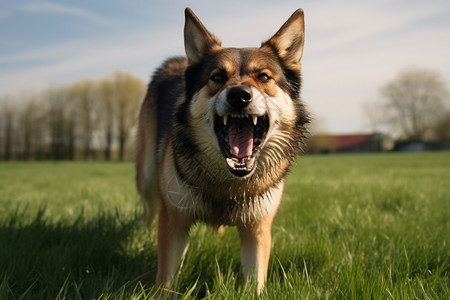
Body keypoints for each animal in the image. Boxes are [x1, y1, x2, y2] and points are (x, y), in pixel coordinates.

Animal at [135, 7, 308, 296]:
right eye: (217, 77)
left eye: (263, 77)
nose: (239, 95)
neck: (229, 182)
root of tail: (176, 60)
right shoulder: (174, 221)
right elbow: (167, 280)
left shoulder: (257, 229)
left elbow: (255, 282)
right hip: (147, 176)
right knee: (149, 212)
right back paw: (143, 240)